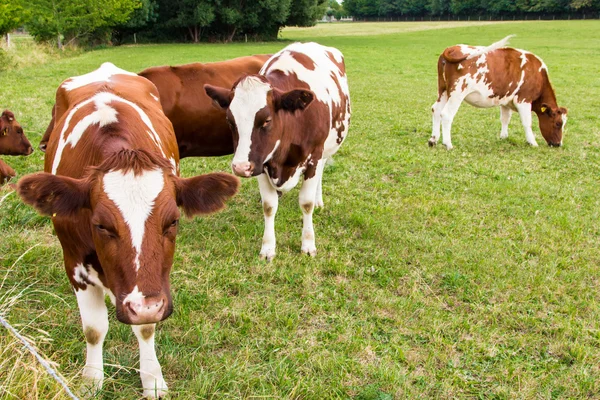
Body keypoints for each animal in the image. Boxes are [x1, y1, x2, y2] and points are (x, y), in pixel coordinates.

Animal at [15, 62, 239, 396]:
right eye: (101, 225)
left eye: (173, 221)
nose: (143, 306)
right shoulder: (74, 263)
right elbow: (94, 329)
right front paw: (92, 380)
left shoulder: (154, 287)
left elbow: (145, 328)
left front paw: (153, 381)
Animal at [205, 42, 350, 260]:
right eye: (230, 121)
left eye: (266, 120)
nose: (240, 167)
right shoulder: (260, 163)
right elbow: (269, 206)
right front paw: (268, 248)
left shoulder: (314, 158)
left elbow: (306, 203)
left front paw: (308, 244)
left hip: (327, 148)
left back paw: (319, 200)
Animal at [432, 35, 568, 148]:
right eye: (558, 123)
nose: (558, 144)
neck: (538, 74)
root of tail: (451, 49)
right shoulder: (523, 100)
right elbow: (527, 122)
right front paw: (532, 142)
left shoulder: (505, 100)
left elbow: (505, 118)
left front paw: (504, 137)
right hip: (457, 93)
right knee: (446, 114)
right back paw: (448, 144)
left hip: (443, 91)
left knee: (436, 109)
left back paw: (433, 140)